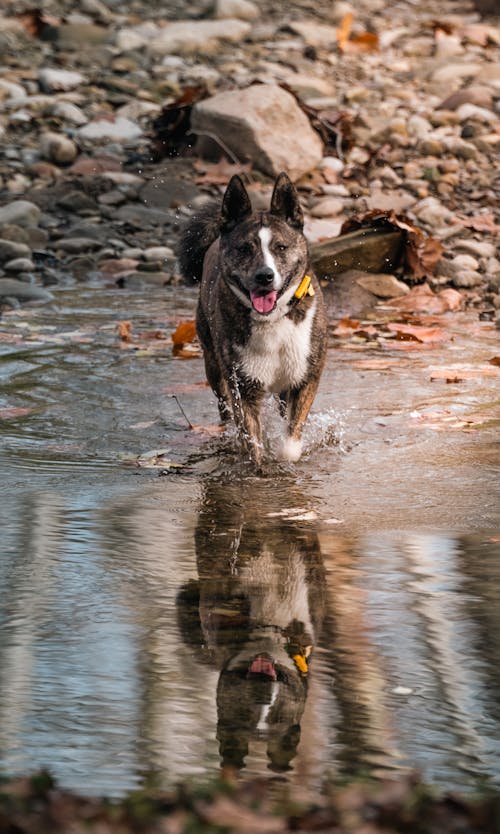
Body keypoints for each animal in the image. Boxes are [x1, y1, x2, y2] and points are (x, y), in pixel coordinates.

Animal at [180, 172, 328, 464]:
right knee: (224, 406)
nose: (264, 276)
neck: (273, 318)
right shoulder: (243, 387)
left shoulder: (307, 376)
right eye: (244, 249)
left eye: (281, 247)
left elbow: (291, 440)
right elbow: (252, 443)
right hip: (212, 364)